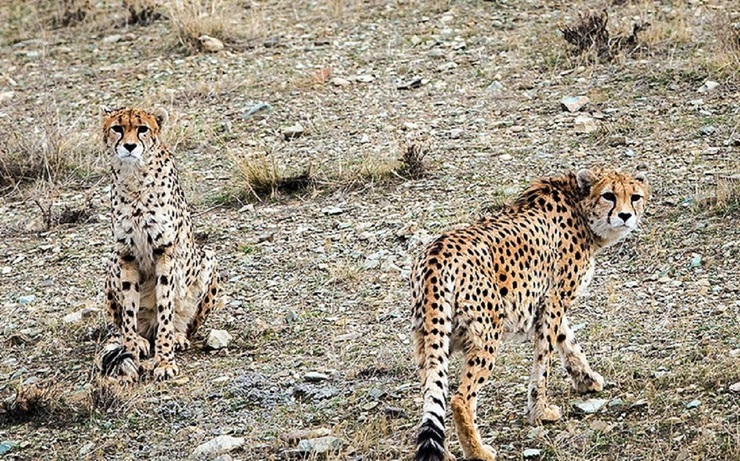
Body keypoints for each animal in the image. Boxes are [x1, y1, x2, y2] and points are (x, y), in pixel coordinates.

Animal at [94, 107, 220, 380]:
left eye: (143, 129)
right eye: (117, 128)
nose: (130, 146)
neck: (134, 179)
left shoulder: (165, 252)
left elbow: (165, 309)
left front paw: (164, 362)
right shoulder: (126, 254)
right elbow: (129, 311)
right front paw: (131, 354)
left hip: (208, 257)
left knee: (181, 322)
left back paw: (177, 336)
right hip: (112, 262)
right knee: (125, 324)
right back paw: (140, 341)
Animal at [410, 167, 648, 460]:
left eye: (635, 197)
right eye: (608, 195)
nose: (625, 215)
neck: (579, 206)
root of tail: (436, 253)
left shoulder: (548, 302)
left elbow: (568, 340)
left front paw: (586, 379)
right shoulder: (554, 300)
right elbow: (544, 359)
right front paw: (541, 412)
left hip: (429, 340)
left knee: (433, 394)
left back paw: (446, 453)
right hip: (486, 334)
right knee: (460, 398)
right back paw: (478, 451)